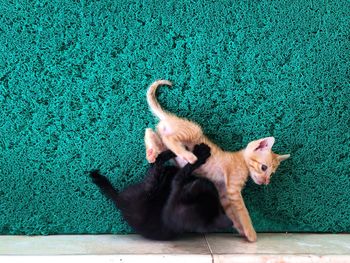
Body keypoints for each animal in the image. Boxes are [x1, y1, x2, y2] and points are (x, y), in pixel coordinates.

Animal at [91, 144, 231, 241]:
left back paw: (170, 155)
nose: (208, 182)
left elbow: (183, 172)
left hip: (148, 189)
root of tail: (119, 200)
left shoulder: (177, 190)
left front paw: (199, 154)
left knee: (156, 165)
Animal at [145, 80, 290, 243]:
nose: (266, 182)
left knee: (151, 132)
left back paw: (151, 152)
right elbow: (244, 213)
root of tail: (171, 118)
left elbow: (233, 215)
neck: (241, 160)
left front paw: (240, 230)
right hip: (194, 131)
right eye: (264, 167)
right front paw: (251, 233)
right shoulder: (234, 191)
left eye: (271, 174)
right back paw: (189, 156)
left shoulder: (224, 194)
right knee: (169, 138)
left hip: (166, 141)